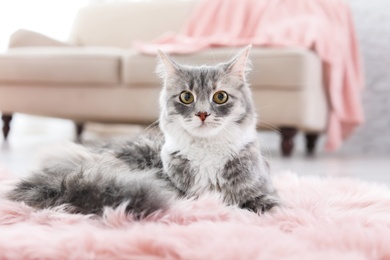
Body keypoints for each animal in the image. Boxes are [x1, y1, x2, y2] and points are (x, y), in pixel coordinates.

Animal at [6, 45, 280, 218]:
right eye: (186, 97)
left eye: (220, 97)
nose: (202, 114)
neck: (207, 155)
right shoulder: (176, 188)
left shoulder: (264, 188)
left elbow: (272, 206)